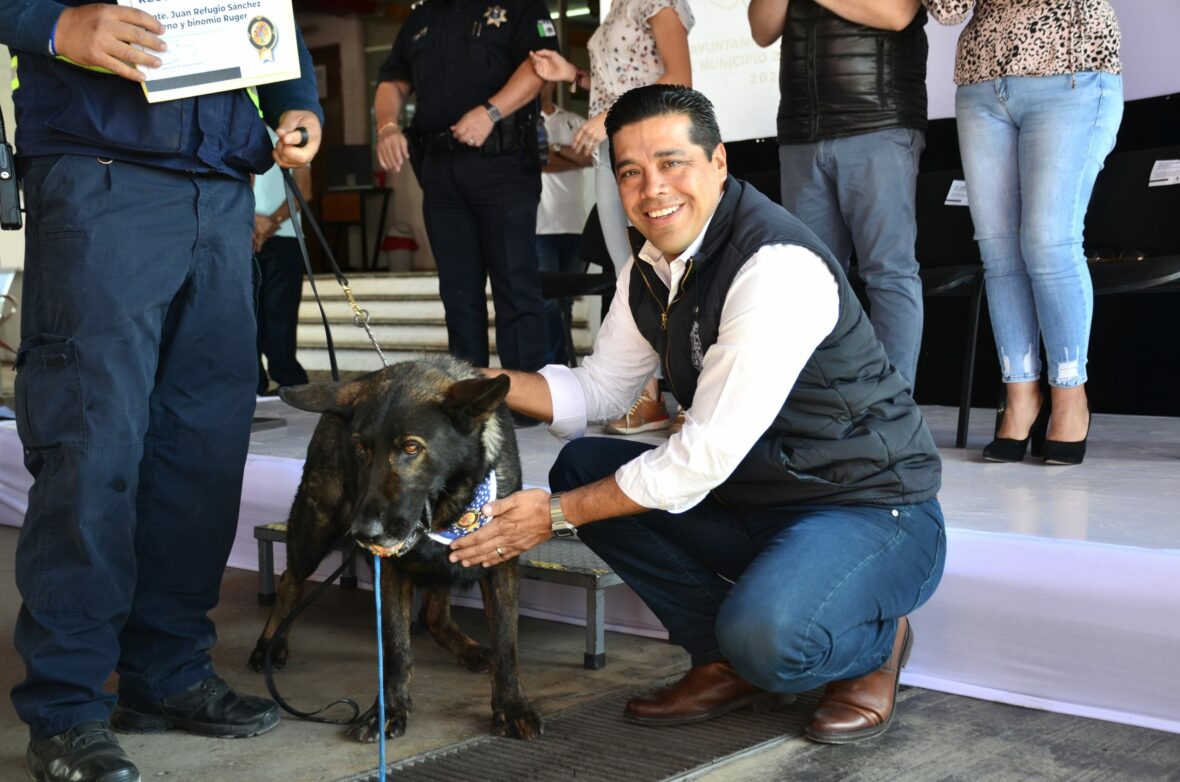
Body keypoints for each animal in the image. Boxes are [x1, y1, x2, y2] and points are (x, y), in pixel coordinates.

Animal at [251, 358, 545, 745]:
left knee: (435, 615)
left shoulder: (499, 562)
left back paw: (468, 650)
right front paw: (388, 711)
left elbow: (506, 643)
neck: (448, 509)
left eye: (411, 448)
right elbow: (395, 648)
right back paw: (269, 644)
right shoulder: (391, 571)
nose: (364, 533)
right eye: (361, 447)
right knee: (289, 580)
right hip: (314, 527)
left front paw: (511, 707)